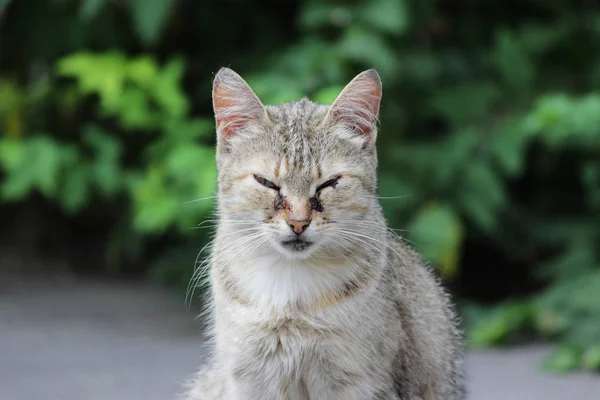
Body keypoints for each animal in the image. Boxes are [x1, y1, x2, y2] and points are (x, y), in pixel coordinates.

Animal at [180, 67, 466, 398]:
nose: (298, 223)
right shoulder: (249, 378)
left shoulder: (358, 383)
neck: (290, 288)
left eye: (330, 183)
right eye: (266, 183)